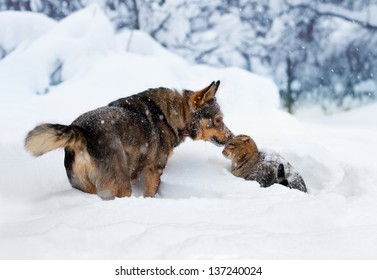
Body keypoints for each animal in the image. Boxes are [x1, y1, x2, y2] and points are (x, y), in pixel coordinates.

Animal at [25, 81, 232, 199]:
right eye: (218, 120)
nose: (232, 136)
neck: (174, 114)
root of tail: (81, 131)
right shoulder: (154, 170)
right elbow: (151, 194)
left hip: (87, 186)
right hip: (120, 187)